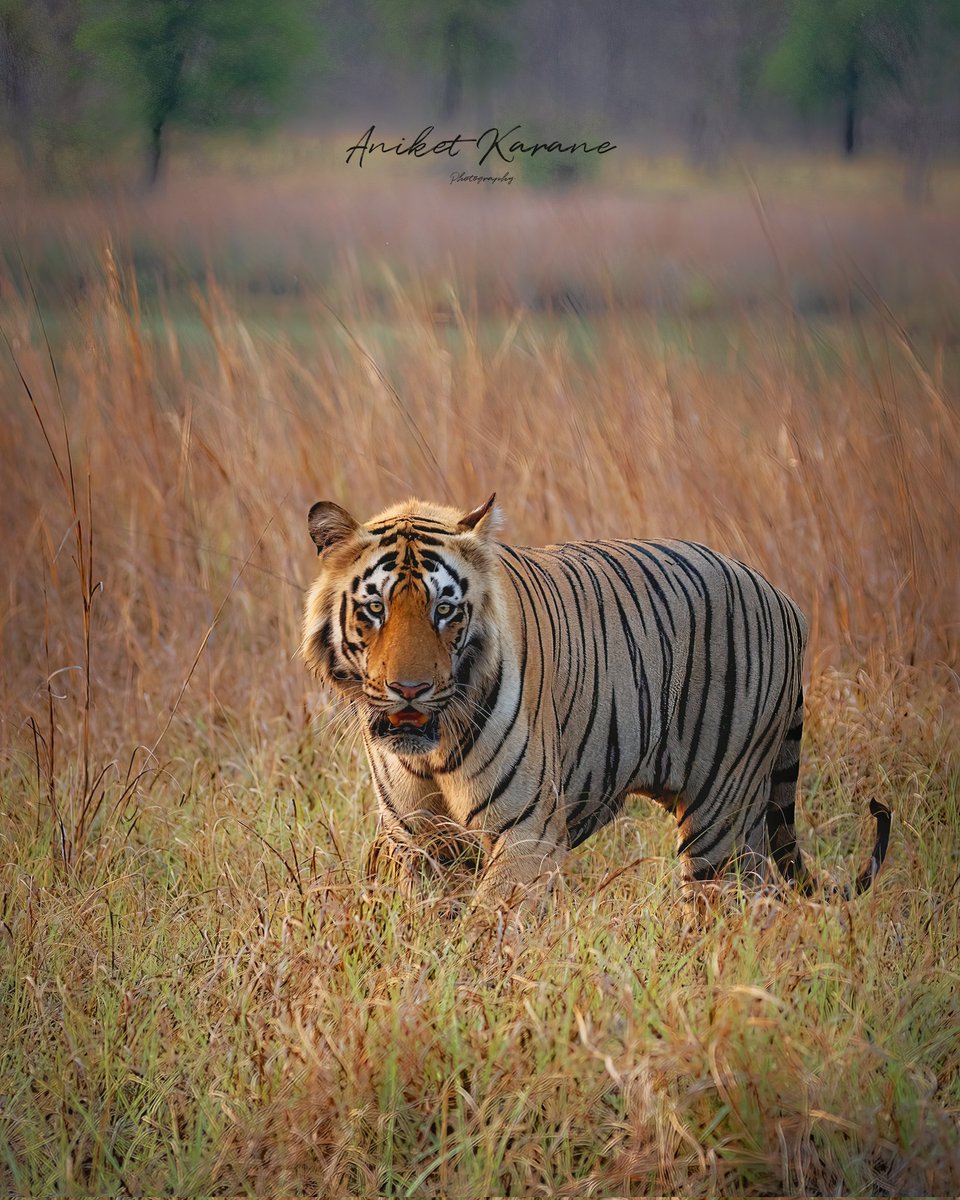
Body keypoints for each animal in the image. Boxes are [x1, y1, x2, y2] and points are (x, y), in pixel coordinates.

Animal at [302, 492, 892, 912]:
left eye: (444, 610)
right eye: (375, 609)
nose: (409, 689)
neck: (432, 750)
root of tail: (784, 599)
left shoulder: (526, 833)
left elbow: (490, 928)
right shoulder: (416, 839)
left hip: (720, 820)